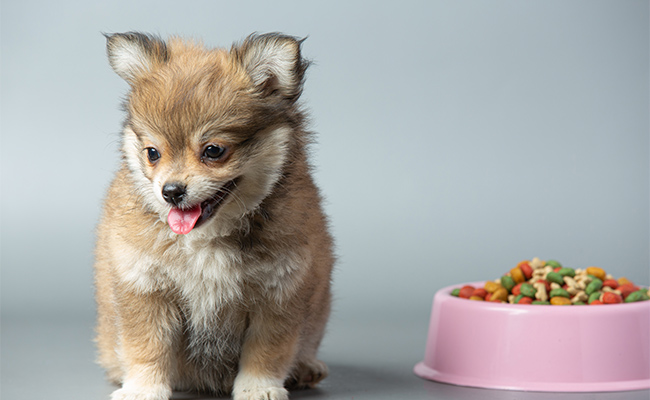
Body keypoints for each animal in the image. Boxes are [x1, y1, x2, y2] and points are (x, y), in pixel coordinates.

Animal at [93, 32, 332, 400]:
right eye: (152, 153)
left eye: (213, 151)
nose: (171, 191)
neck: (207, 239)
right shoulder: (146, 287)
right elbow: (146, 347)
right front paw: (142, 389)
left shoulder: (277, 293)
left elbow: (266, 351)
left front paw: (259, 388)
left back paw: (306, 368)